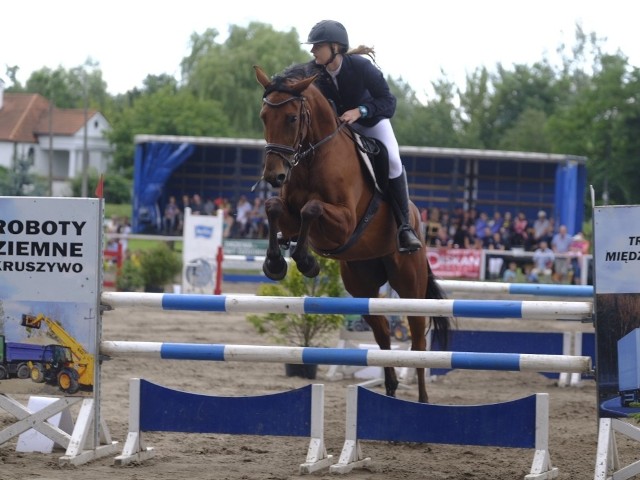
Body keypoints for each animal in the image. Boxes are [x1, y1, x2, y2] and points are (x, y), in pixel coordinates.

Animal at [254, 62, 450, 402]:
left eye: (292, 118)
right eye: (264, 116)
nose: (274, 175)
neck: (313, 156)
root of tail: (417, 219)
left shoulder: (344, 222)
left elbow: (311, 209)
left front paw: (306, 261)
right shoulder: (288, 212)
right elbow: (274, 207)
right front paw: (275, 263)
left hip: (409, 284)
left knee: (417, 341)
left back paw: (423, 401)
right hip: (361, 285)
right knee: (383, 334)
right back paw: (390, 391)